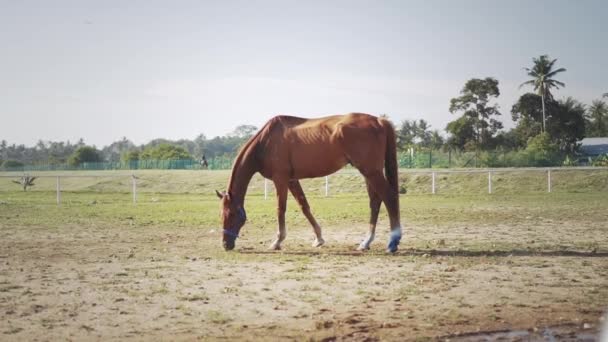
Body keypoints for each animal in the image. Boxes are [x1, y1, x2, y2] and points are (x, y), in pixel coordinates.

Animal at [215, 113, 404, 252]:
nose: (225, 245)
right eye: (221, 215)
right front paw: (319, 239)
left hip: (371, 172)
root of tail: (379, 121)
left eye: (231, 214)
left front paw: (277, 241)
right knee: (375, 202)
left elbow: (280, 209)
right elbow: (304, 206)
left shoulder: (280, 179)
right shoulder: (292, 180)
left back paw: (393, 242)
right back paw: (366, 242)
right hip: (368, 173)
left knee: (389, 197)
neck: (265, 142)